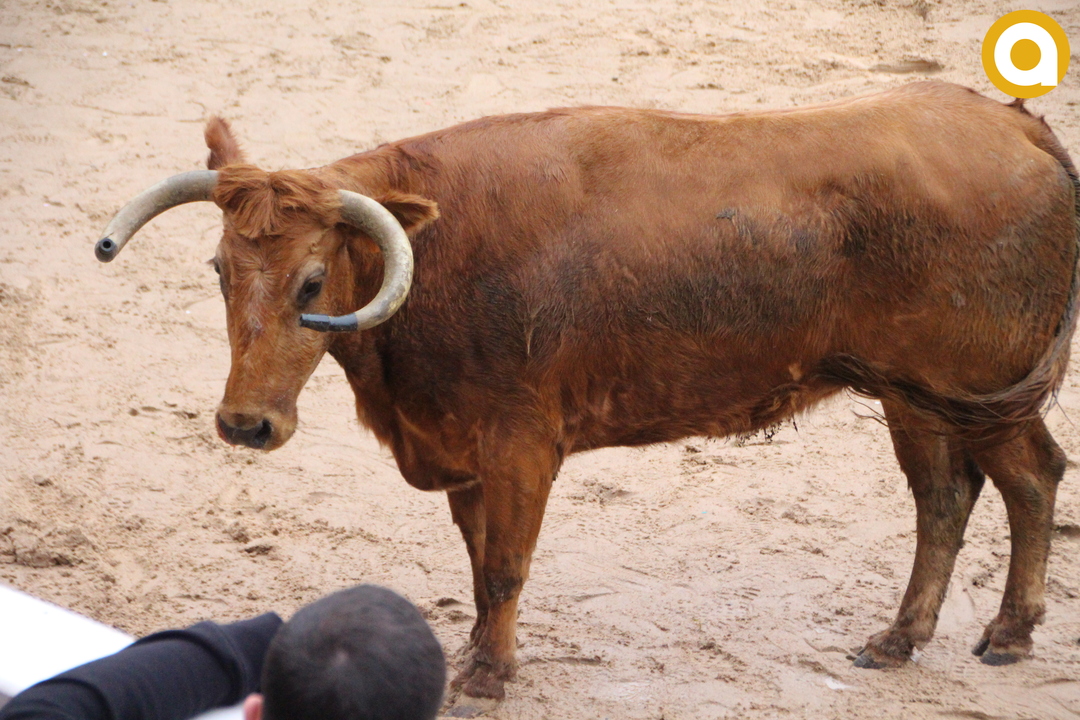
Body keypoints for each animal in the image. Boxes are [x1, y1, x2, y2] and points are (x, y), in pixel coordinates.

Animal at [96, 81, 1079, 705]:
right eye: (219, 270)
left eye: (310, 283)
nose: (245, 424)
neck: (443, 248)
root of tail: (1016, 127)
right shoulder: (463, 453)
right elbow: (478, 560)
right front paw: (481, 654)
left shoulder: (520, 443)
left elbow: (503, 565)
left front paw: (488, 677)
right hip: (920, 399)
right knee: (946, 498)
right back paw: (903, 639)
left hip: (980, 392)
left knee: (1028, 478)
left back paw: (1008, 634)